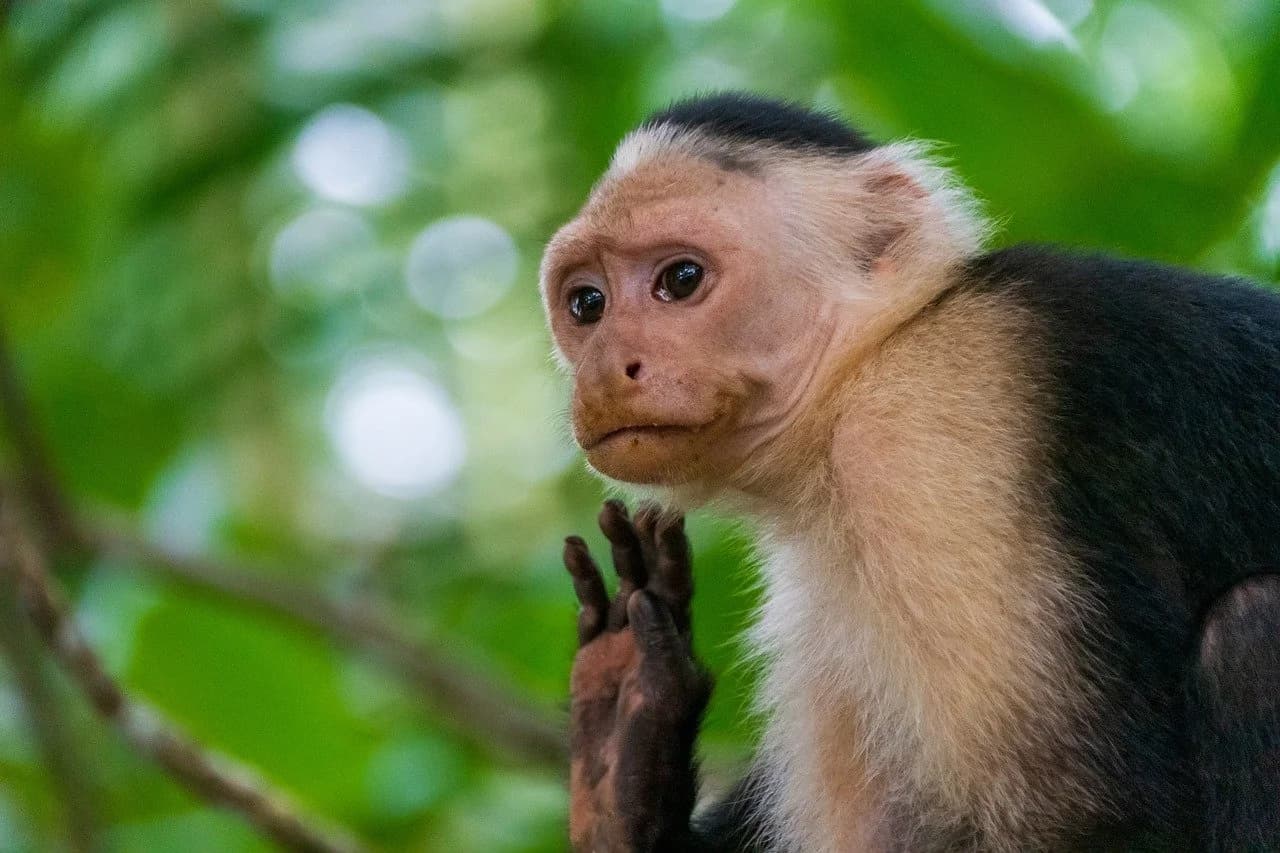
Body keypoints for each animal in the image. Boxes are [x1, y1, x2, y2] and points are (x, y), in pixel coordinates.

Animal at [540, 92, 1280, 851]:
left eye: (681, 280)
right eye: (588, 304)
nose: (607, 368)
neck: (869, 360)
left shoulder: (921, 439)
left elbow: (1100, 813)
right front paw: (629, 755)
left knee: (1252, 631)